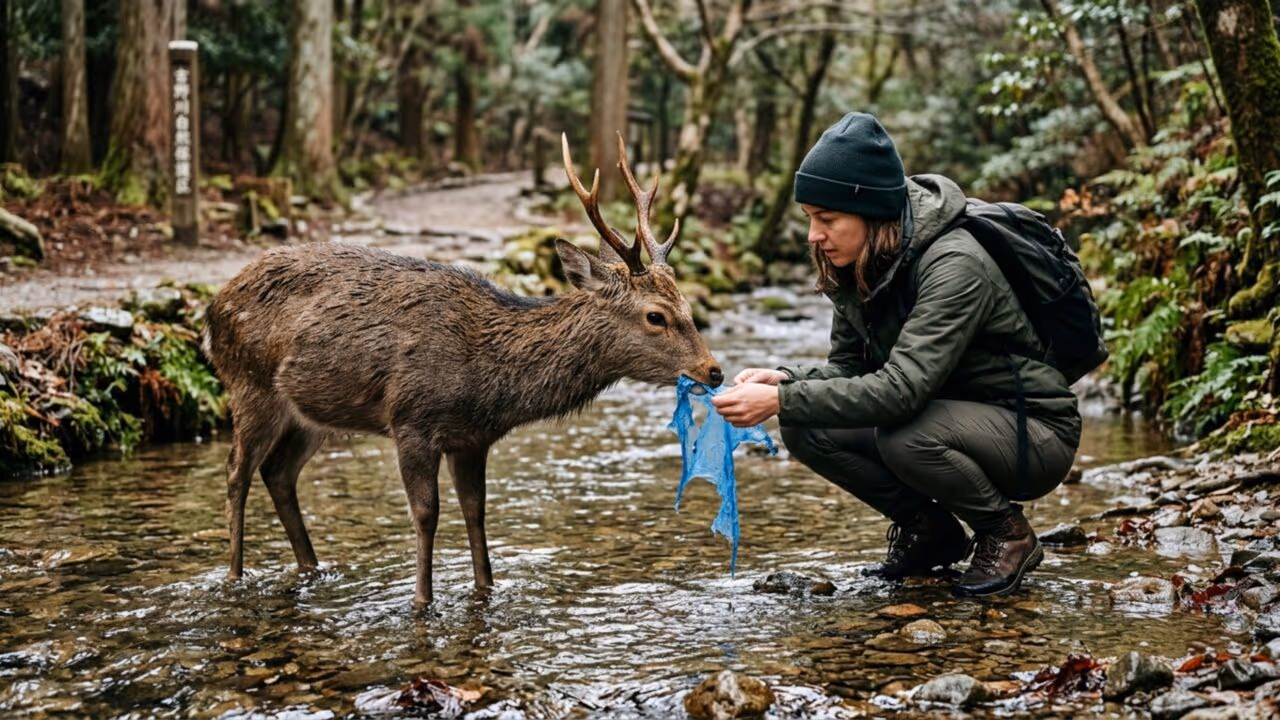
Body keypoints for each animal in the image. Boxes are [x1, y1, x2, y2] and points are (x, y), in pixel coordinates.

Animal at [202, 133, 723, 606]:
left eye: (688, 305)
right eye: (656, 315)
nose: (713, 370)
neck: (485, 379)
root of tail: (211, 309)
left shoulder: (472, 438)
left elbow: (476, 511)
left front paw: (485, 589)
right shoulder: (411, 419)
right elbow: (426, 513)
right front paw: (421, 601)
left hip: (312, 413)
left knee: (278, 472)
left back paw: (312, 568)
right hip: (249, 385)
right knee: (236, 471)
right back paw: (235, 575)